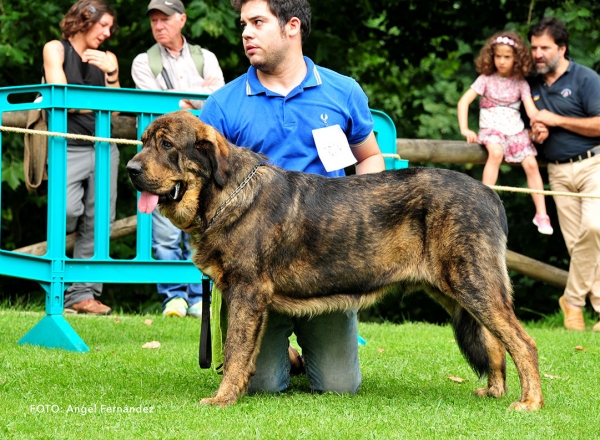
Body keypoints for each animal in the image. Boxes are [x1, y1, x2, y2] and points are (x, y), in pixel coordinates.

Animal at [125, 109, 544, 410]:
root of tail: (490, 195)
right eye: (143, 142)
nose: (130, 169)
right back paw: (495, 391)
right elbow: (242, 355)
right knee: (494, 342)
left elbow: (236, 350)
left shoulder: (247, 292)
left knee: (523, 342)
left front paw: (223, 398)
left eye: (167, 145)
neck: (224, 193)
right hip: (457, 289)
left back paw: (530, 401)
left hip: (473, 282)